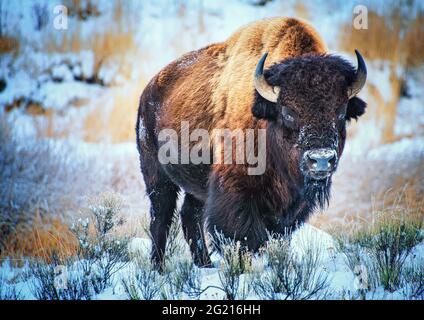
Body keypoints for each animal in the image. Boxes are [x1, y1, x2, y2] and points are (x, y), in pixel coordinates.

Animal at [137, 17, 368, 268]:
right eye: (288, 112)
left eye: (341, 111)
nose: (322, 160)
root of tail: (149, 90)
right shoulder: (237, 192)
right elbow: (244, 237)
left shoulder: (293, 205)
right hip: (156, 175)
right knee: (161, 217)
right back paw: (158, 267)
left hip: (196, 185)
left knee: (190, 215)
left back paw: (204, 264)